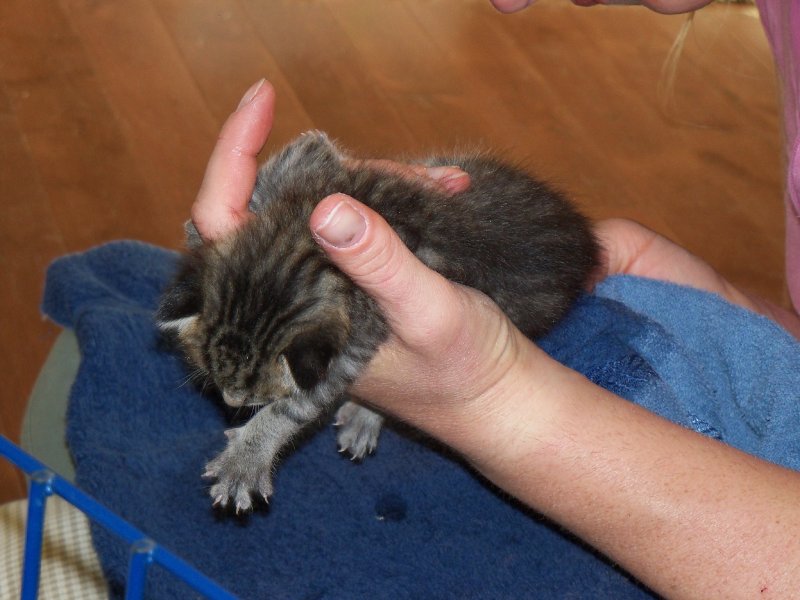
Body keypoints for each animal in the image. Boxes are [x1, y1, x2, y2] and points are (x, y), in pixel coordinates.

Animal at [156, 131, 596, 510]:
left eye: (252, 395)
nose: (231, 402)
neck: (303, 251)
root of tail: (586, 243)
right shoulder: (317, 169)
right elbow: (298, 155)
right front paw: (202, 229)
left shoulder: (354, 341)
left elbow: (298, 405)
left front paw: (246, 459)